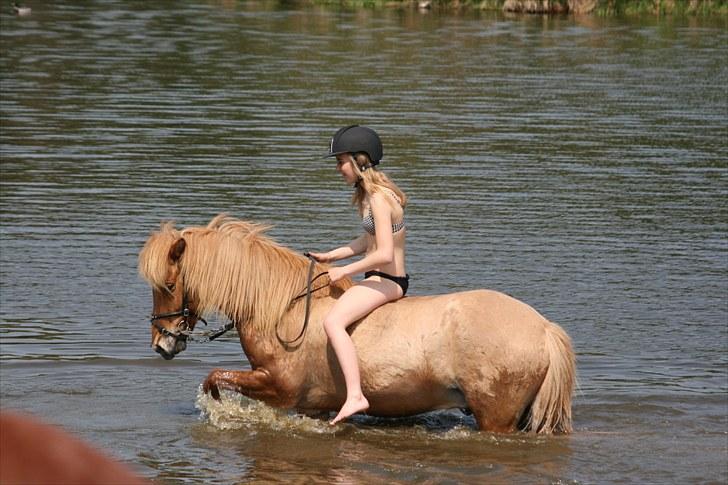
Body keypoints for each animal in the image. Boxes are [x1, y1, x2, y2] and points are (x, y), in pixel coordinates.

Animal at [141, 214, 576, 432]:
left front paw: (219, 407)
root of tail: (544, 329)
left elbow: (214, 378)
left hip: (496, 415)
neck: (282, 309)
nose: (163, 343)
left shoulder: (279, 389)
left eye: (168, 285)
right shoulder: (309, 406)